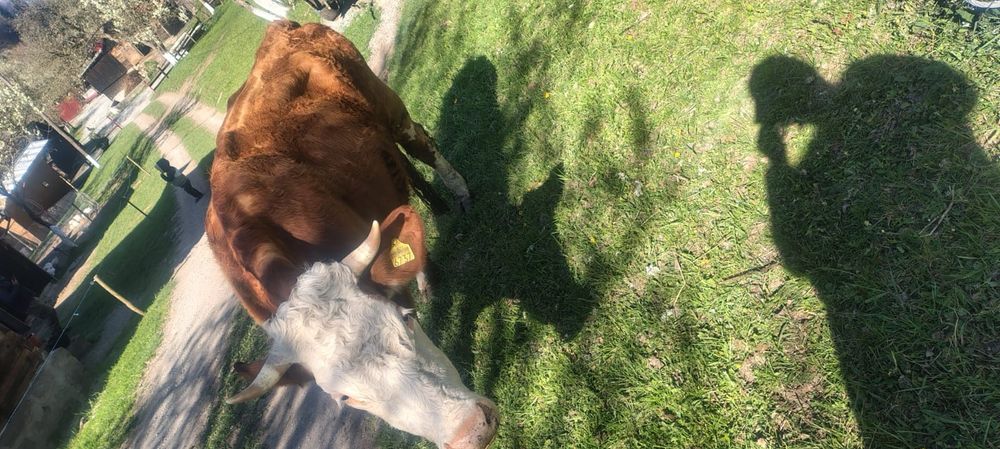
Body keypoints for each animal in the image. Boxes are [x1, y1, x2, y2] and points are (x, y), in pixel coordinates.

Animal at [205, 21, 497, 449]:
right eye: (346, 398)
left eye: (407, 319)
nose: (471, 429)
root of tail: (283, 27)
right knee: (400, 167)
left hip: (389, 106)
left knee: (421, 144)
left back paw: (458, 195)